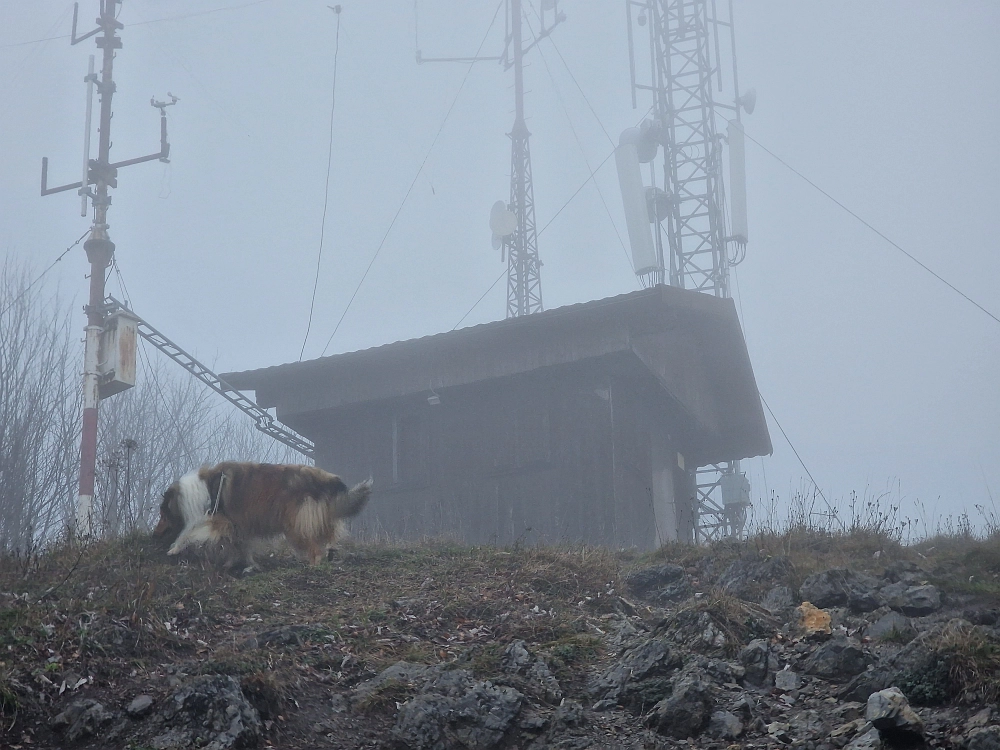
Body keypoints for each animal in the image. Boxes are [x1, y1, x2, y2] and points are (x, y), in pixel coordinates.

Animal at [154, 464, 374, 568]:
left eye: (162, 515)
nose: (154, 534)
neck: (205, 490)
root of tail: (326, 478)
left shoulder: (217, 519)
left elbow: (189, 532)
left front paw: (173, 549)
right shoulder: (237, 526)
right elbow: (238, 546)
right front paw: (238, 563)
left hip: (294, 524)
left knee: (314, 548)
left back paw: (313, 564)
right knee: (328, 536)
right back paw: (331, 551)